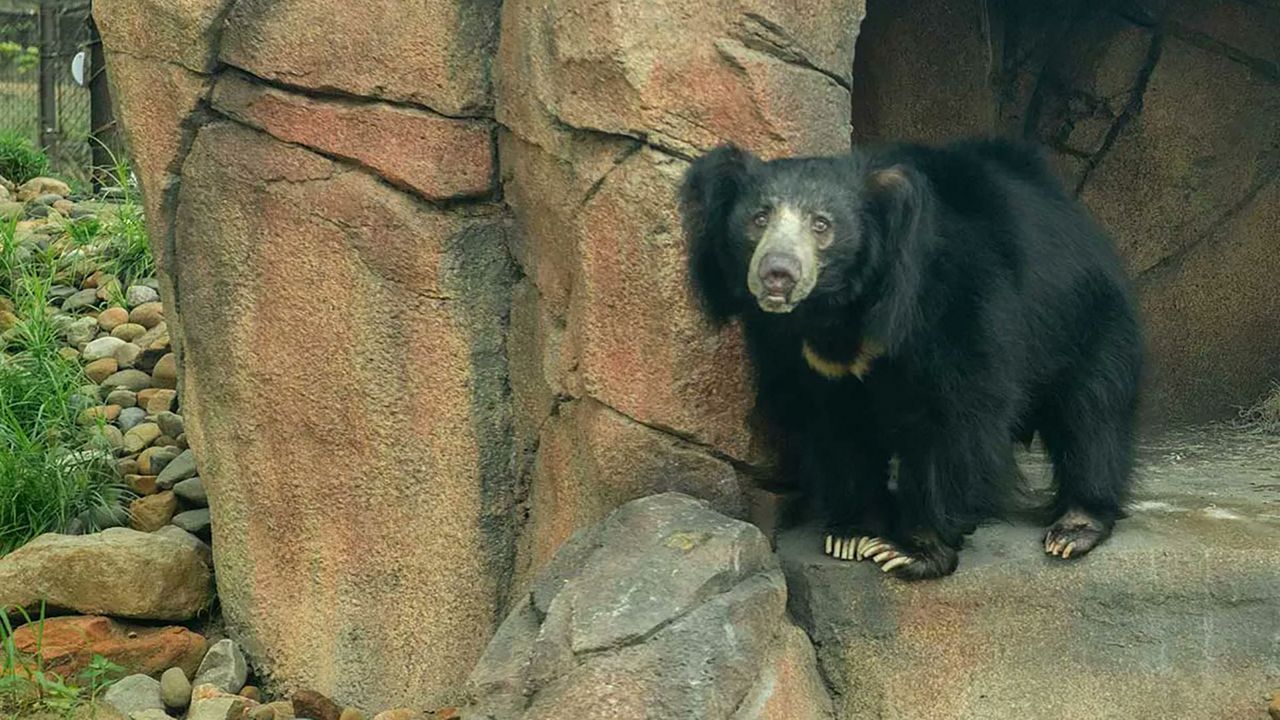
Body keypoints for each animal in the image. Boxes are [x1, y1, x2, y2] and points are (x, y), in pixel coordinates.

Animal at [680, 139, 1141, 576]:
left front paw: (908, 551)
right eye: (759, 218)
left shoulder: (949, 304)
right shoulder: (801, 353)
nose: (778, 274)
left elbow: (952, 418)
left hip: (1087, 319)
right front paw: (851, 535)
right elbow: (834, 423)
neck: (837, 311)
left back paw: (1075, 528)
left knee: (1091, 413)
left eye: (821, 224)